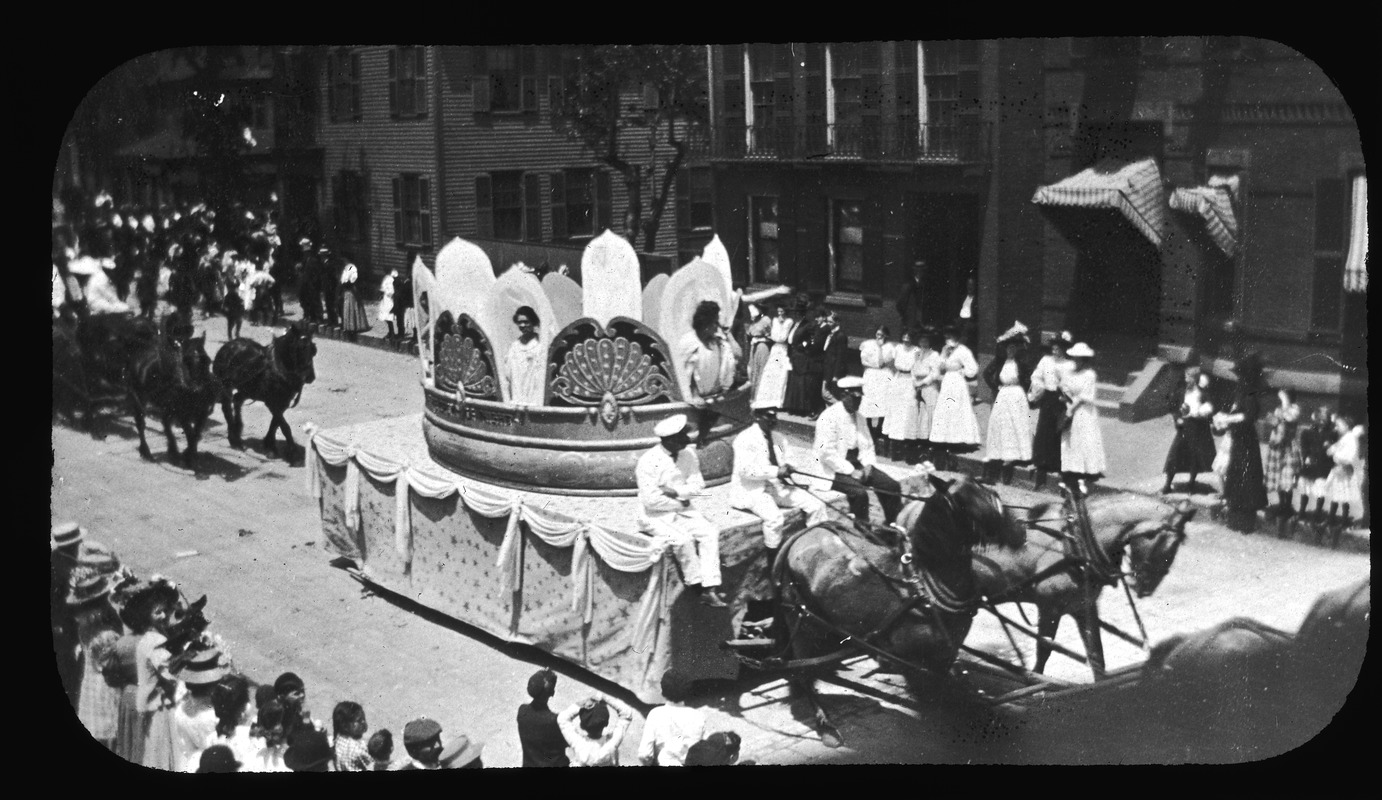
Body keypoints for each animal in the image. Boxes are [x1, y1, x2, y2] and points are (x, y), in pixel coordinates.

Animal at [125, 331, 221, 469]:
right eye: (186, 360)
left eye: (207, 361)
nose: (199, 389)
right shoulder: (182, 413)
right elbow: (190, 434)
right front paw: (188, 458)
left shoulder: (201, 413)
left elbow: (196, 434)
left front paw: (188, 453)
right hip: (139, 399)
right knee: (141, 424)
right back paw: (146, 452)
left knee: (165, 423)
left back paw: (173, 450)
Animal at [212, 323, 317, 461]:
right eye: (299, 348)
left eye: (313, 350)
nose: (311, 377)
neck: (279, 368)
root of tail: (227, 346)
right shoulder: (272, 402)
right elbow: (284, 425)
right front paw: (291, 451)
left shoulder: (283, 402)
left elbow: (275, 423)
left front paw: (269, 445)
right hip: (226, 386)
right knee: (227, 408)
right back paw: (234, 440)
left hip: (247, 389)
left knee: (237, 400)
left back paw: (238, 433)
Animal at [779, 475, 1028, 746]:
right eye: (966, 504)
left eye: (993, 493)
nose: (1020, 531)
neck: (926, 587)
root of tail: (802, 534)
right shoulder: (914, 659)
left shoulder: (944, 656)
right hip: (801, 619)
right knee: (803, 669)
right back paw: (825, 724)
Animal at [967, 494, 1194, 677]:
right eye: (1168, 544)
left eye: (1176, 547)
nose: (1147, 587)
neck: (1076, 543)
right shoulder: (1049, 607)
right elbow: (1044, 650)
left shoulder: (1083, 608)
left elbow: (1097, 656)